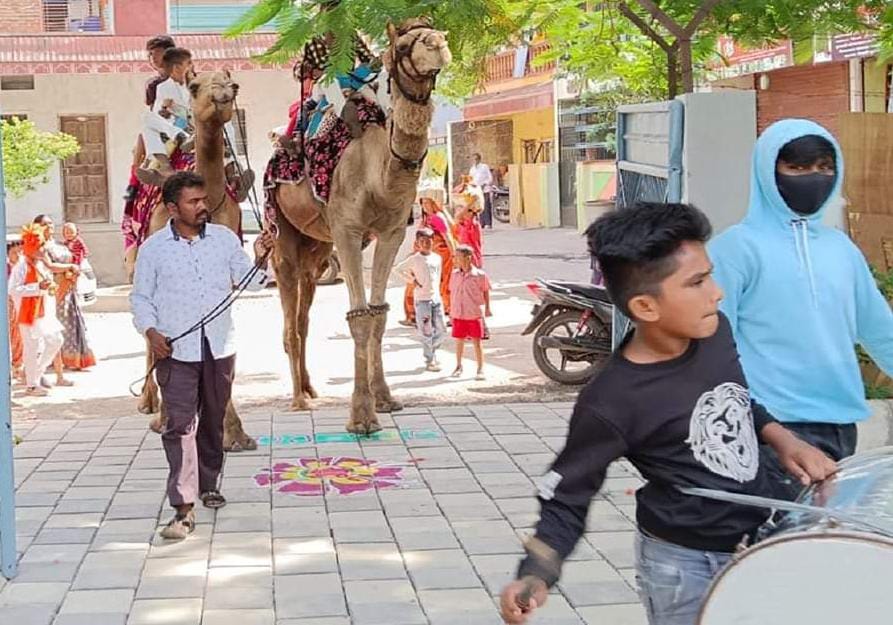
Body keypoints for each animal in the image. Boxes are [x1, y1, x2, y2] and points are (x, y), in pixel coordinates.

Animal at [137, 70, 254, 450]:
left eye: (233, 83)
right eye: (194, 85)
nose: (223, 94)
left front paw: (235, 432)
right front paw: (167, 419)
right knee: (148, 334)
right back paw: (151, 407)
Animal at [272, 17, 452, 432]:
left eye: (438, 32)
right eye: (402, 46)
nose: (439, 45)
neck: (379, 170)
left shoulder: (391, 232)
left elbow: (378, 313)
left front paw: (385, 398)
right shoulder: (348, 230)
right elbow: (358, 317)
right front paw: (361, 416)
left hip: (316, 247)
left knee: (304, 315)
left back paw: (310, 389)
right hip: (284, 235)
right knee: (289, 321)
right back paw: (297, 400)